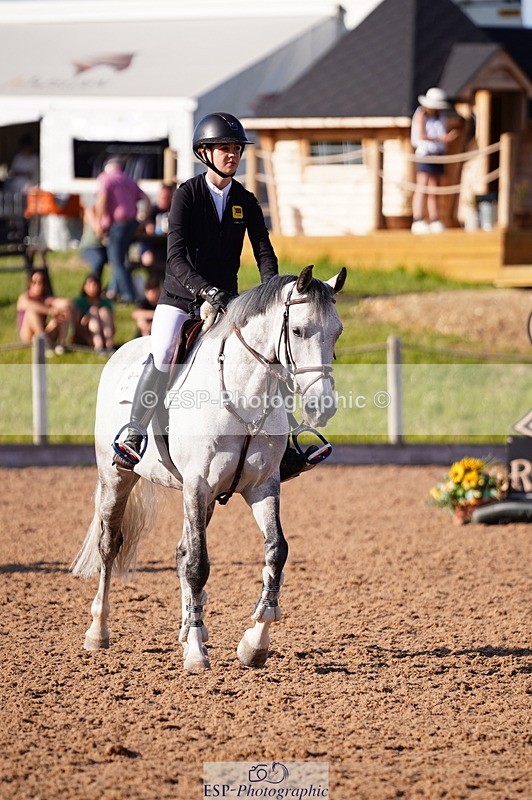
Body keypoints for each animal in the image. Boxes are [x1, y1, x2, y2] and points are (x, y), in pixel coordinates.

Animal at [71, 265, 346, 671]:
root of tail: (122, 350)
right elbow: (199, 565)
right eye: (298, 330)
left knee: (181, 551)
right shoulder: (197, 485)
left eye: (337, 331)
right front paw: (198, 652)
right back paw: (98, 631)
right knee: (110, 545)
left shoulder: (262, 486)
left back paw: (186, 628)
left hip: (205, 499)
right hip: (118, 477)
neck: (244, 395)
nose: (322, 407)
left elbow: (275, 552)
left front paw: (254, 642)